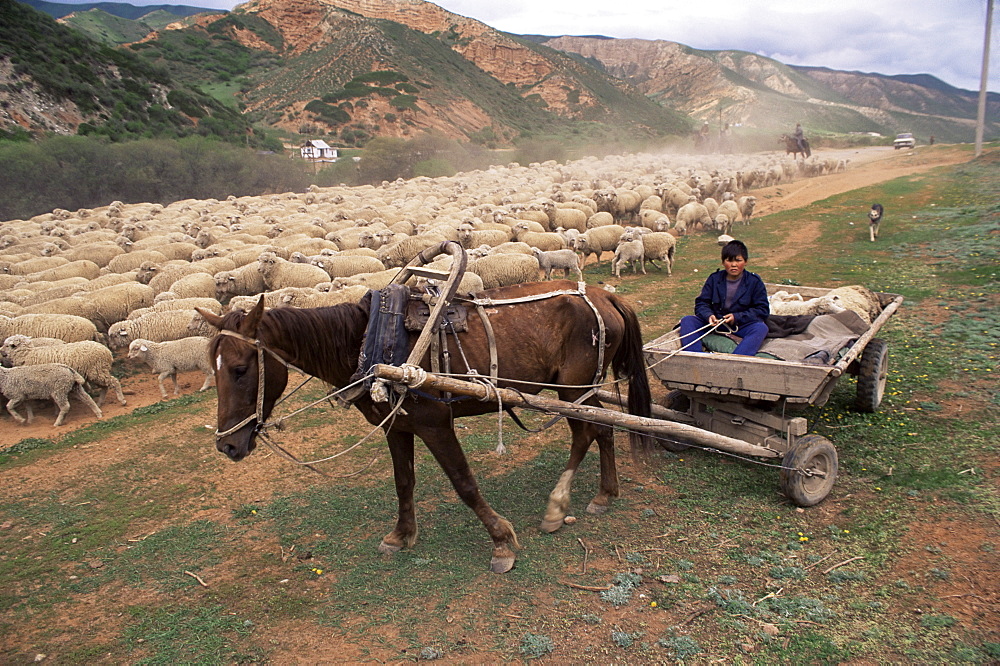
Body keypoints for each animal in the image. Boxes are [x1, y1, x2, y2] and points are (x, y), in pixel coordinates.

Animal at [198, 280, 652, 572]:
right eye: (213, 370)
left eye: (240, 369)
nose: (227, 446)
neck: (373, 341)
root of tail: (605, 295)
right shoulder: (395, 427)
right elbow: (404, 481)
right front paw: (401, 534)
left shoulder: (436, 425)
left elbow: (463, 481)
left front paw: (501, 542)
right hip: (581, 390)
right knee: (603, 429)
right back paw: (605, 493)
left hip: (572, 389)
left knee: (586, 434)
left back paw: (558, 505)